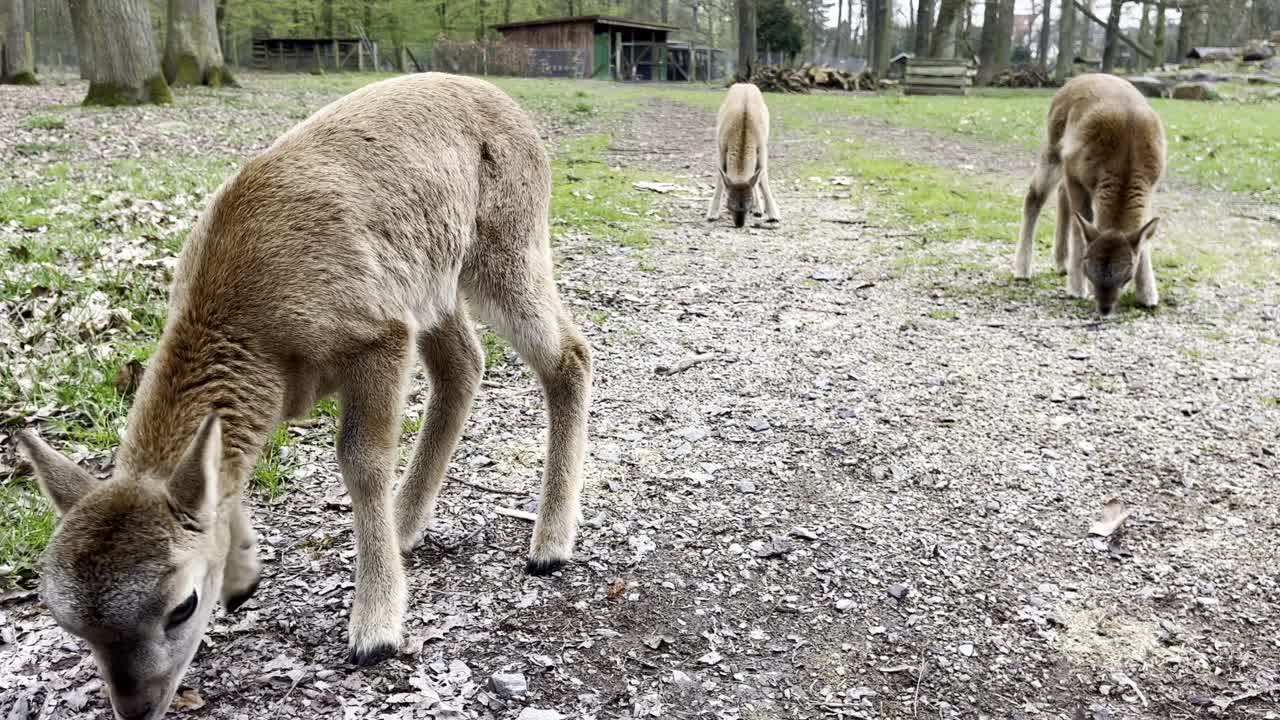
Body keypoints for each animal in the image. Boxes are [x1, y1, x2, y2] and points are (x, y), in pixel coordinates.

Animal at [15, 72, 592, 720]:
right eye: (72, 626)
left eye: (182, 605)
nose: (137, 708)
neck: (260, 341)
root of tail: (511, 106)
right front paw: (245, 578)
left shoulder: (379, 335)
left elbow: (362, 462)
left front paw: (375, 631)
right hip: (434, 282)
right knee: (465, 365)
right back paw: (408, 525)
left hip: (507, 245)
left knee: (568, 354)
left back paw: (548, 544)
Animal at [706, 82, 781, 228]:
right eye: (729, 203)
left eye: (749, 203)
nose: (739, 224)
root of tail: (744, 83)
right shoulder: (721, 148)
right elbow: (720, 179)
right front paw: (712, 214)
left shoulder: (762, 148)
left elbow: (763, 178)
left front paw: (773, 215)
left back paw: (759, 210)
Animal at [1012, 73, 1166, 316]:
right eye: (1089, 269)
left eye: (1126, 276)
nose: (1104, 308)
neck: (1126, 159)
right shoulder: (1075, 170)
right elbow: (1080, 225)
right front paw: (1076, 289)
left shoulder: (1153, 184)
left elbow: (1145, 232)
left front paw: (1149, 296)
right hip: (1053, 146)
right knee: (1035, 195)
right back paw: (1022, 270)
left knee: (1061, 194)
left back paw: (1061, 265)